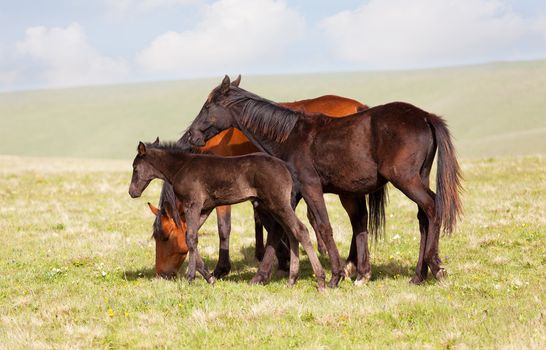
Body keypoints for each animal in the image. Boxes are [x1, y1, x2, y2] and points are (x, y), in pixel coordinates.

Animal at [130, 140, 326, 290]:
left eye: (135, 168)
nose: (132, 192)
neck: (181, 167)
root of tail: (285, 167)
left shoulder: (192, 205)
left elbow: (191, 238)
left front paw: (191, 277)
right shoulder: (205, 208)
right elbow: (189, 238)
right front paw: (210, 277)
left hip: (278, 204)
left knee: (300, 230)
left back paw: (321, 279)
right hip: (276, 206)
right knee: (292, 233)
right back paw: (292, 280)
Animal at [151, 85, 370, 278]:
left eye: (165, 236)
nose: (161, 273)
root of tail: (359, 106)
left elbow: (225, 228)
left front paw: (223, 268)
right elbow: (266, 221)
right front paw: (281, 258)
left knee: (356, 219)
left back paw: (352, 264)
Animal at [182, 76, 460, 288]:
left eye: (208, 106)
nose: (191, 136)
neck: (289, 135)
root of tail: (425, 116)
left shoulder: (310, 188)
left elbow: (323, 227)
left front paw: (335, 276)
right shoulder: (290, 195)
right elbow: (278, 230)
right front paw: (261, 276)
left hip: (406, 180)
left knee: (433, 208)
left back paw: (434, 266)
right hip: (417, 178)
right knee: (423, 218)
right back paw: (417, 275)